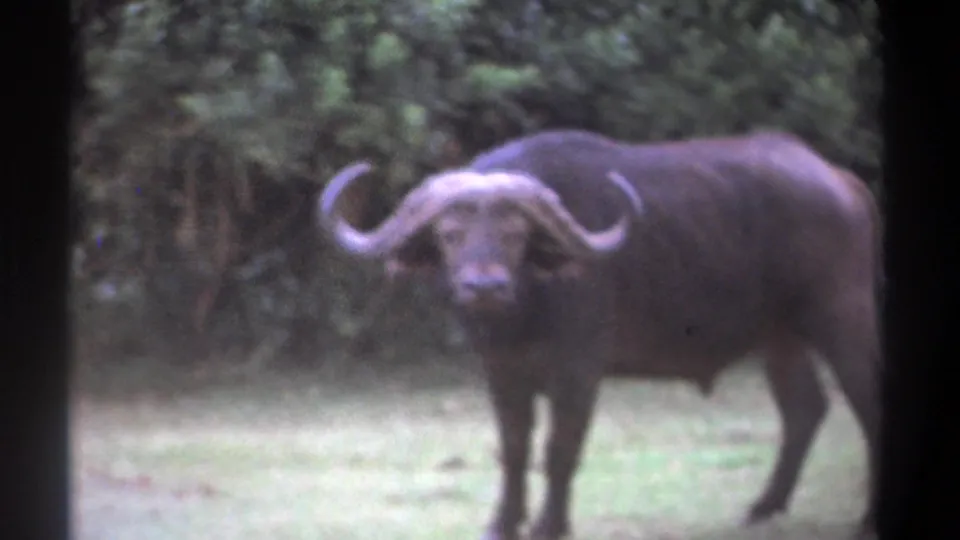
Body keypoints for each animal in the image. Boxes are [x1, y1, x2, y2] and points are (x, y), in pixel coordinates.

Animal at [317, 129, 881, 540]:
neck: (527, 309)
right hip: (779, 335)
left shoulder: (578, 371)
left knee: (864, 403)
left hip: (843, 314)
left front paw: (550, 525)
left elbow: (559, 449)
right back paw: (763, 507)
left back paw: (866, 517)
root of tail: (840, 181)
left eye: (516, 234)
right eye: (449, 234)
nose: (485, 287)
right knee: (804, 408)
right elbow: (514, 448)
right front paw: (503, 522)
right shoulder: (501, 372)